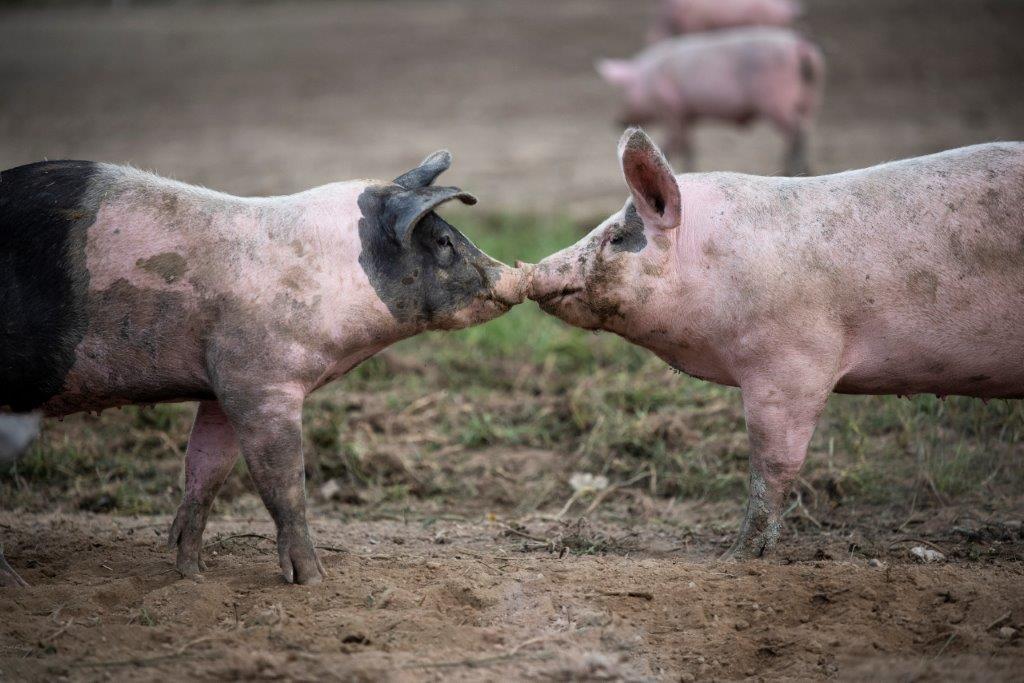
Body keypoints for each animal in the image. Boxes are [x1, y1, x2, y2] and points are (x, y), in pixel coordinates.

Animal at [0, 150, 528, 589]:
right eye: (443, 240)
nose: (516, 276)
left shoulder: (220, 387)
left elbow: (206, 471)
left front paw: (192, 573)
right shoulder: (261, 381)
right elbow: (284, 484)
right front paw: (313, 581)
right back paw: (17, 585)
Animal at [598, 27, 823, 176]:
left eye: (624, 91)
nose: (618, 120)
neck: (647, 78)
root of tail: (800, 47)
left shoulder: (671, 108)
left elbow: (674, 142)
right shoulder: (687, 114)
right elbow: (689, 146)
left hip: (776, 98)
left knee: (796, 132)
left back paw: (791, 170)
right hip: (811, 95)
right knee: (805, 128)